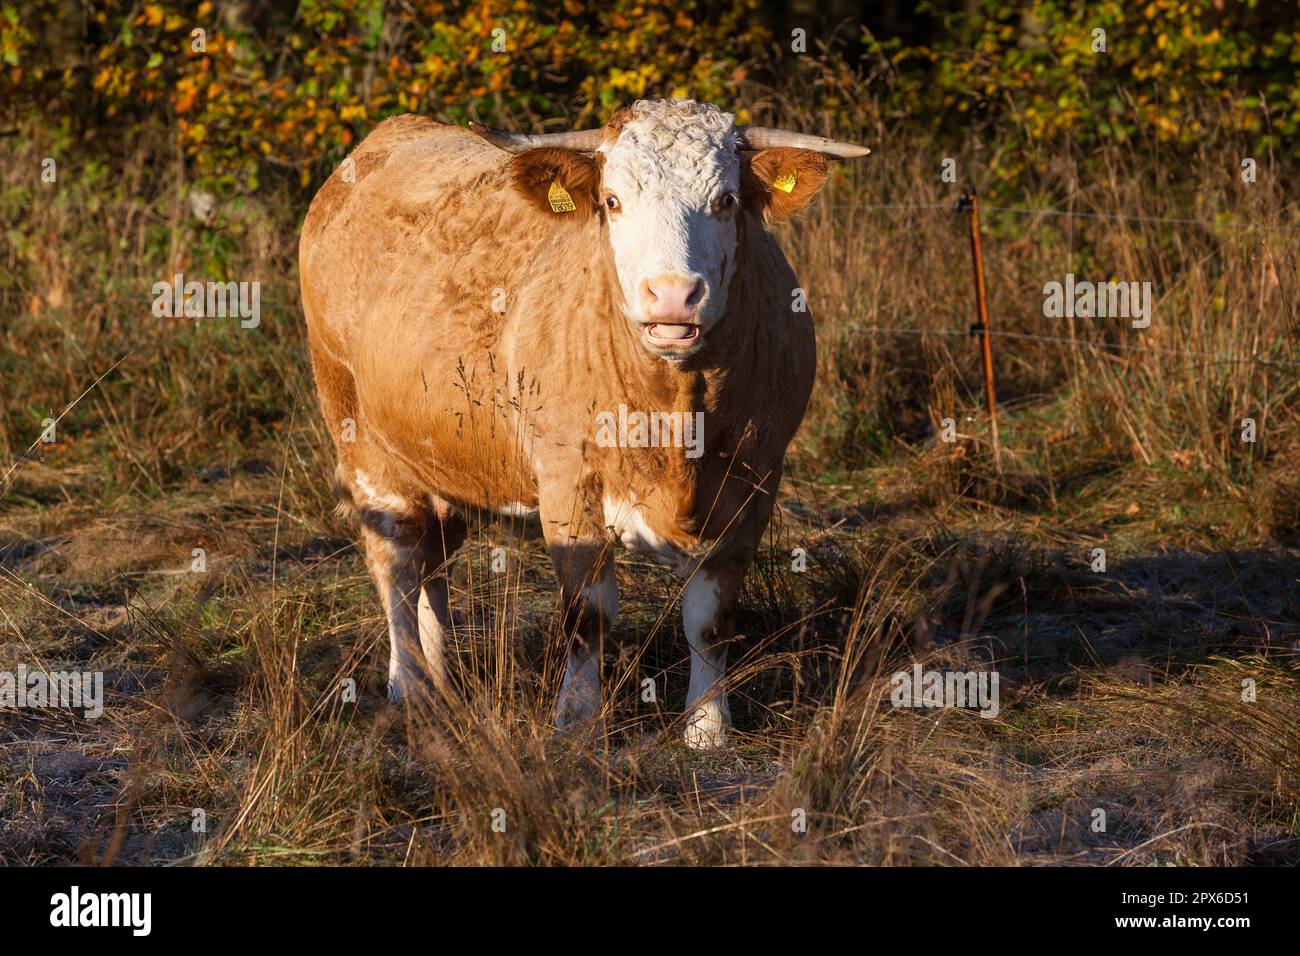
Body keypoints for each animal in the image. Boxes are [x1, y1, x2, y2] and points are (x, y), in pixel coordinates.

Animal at [299, 100, 868, 749]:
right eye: (613, 200)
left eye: (726, 199)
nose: (672, 296)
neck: (677, 414)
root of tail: (391, 133)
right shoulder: (568, 481)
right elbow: (587, 613)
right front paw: (576, 719)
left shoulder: (755, 479)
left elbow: (711, 619)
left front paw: (707, 727)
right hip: (356, 430)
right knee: (394, 560)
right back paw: (410, 684)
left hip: (440, 452)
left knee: (432, 559)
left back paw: (443, 674)